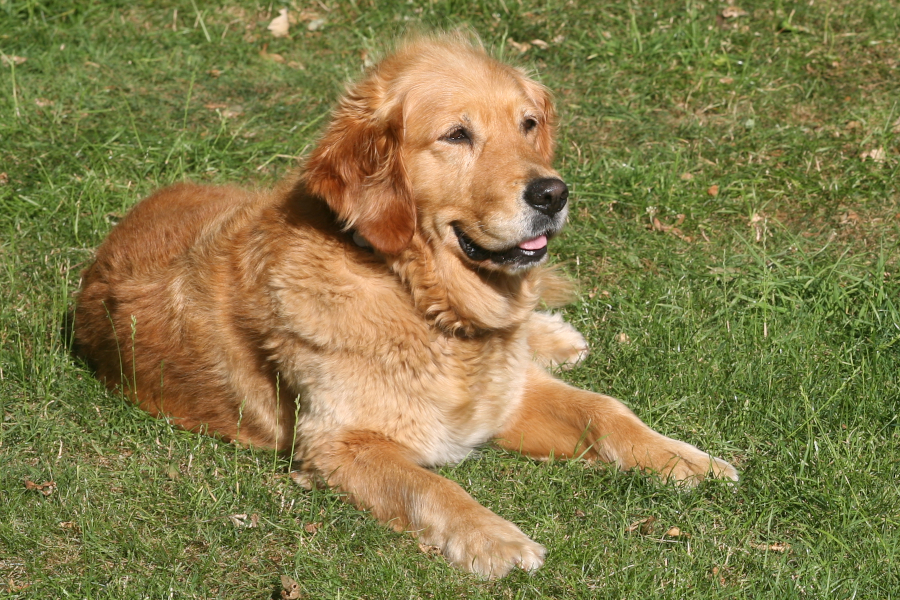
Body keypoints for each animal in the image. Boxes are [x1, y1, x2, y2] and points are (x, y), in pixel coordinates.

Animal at [74, 32, 740, 576]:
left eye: (527, 123)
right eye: (456, 135)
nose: (552, 193)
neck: (421, 299)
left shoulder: (506, 395)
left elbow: (606, 411)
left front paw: (686, 459)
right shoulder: (337, 444)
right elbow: (431, 488)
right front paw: (495, 539)